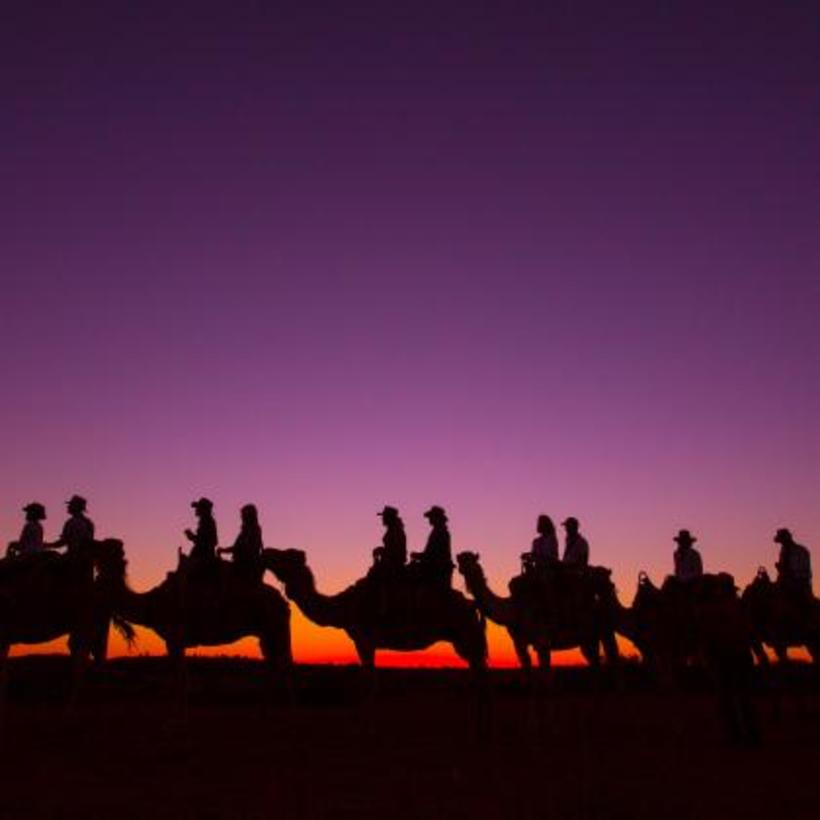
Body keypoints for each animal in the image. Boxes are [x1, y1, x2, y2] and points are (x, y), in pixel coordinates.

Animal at [262, 548, 486, 668]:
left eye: (286, 556)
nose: (266, 552)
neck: (343, 606)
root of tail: (472, 605)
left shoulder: (364, 639)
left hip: (465, 635)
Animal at [454, 552, 616, 672]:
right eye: (461, 559)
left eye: (471, 560)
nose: (460, 565)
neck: (513, 608)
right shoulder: (519, 643)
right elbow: (527, 670)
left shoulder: (542, 641)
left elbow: (545, 676)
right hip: (589, 638)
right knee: (595, 661)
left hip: (603, 630)